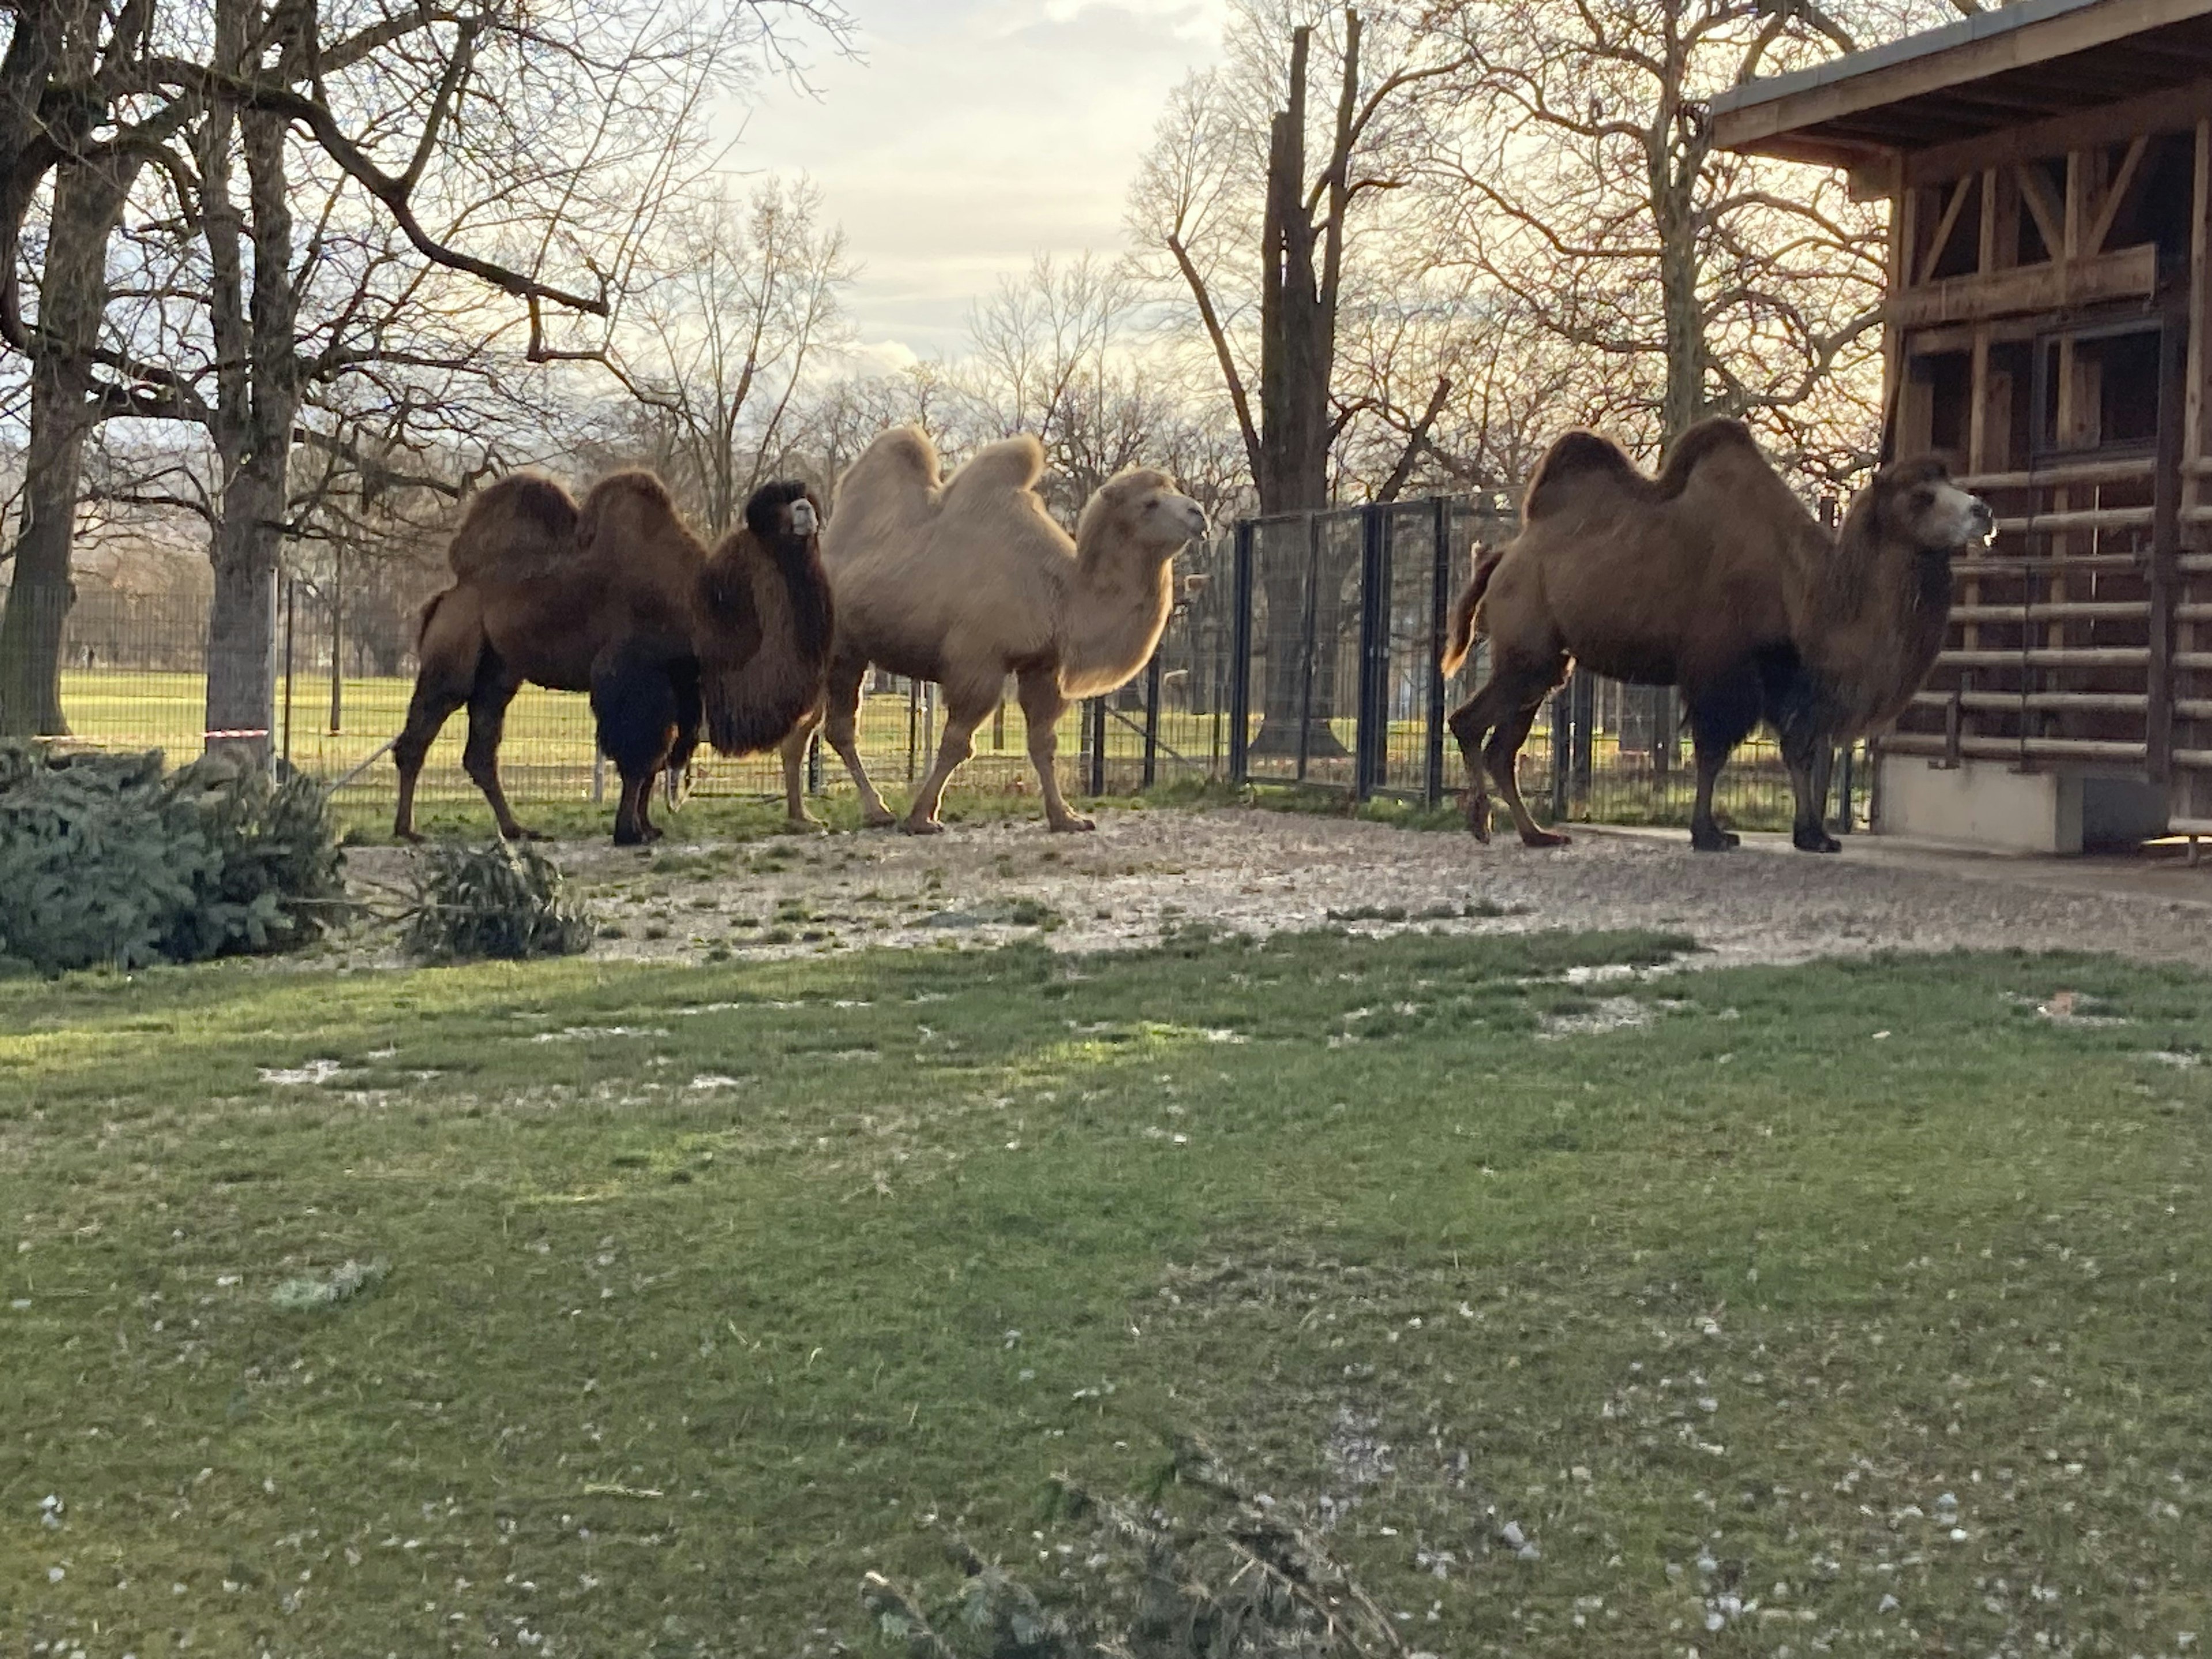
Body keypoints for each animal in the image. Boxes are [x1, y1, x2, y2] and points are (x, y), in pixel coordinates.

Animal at [393, 478, 831, 844]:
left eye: (804, 499)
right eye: (778, 509)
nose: (807, 511)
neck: (701, 607)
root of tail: (448, 593)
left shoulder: (679, 682)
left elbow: (658, 758)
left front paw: (649, 827)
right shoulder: (635, 675)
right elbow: (640, 757)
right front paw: (629, 832)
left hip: (500, 671)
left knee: (481, 751)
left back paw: (516, 829)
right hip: (454, 648)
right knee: (422, 731)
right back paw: (408, 830)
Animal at [783, 429, 1212, 836]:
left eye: (1175, 489)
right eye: (1149, 503)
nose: (1199, 514)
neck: (1062, 590)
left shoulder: (1042, 666)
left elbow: (1043, 743)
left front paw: (1067, 818)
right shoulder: (978, 662)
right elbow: (957, 743)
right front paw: (922, 818)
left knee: (807, 725)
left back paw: (803, 818)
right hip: (843, 652)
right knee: (837, 728)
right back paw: (875, 811)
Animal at [1442, 415, 1999, 858]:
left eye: (1953, 482)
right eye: (1922, 497)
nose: (1983, 511)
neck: (1809, 589)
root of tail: (1502, 557)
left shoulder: (1783, 671)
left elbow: (1797, 748)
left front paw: (1815, 836)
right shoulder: (1723, 665)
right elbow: (1713, 750)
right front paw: (1710, 834)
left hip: (1548, 662)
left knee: (1501, 745)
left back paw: (1536, 834)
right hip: (1527, 647)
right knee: (1468, 722)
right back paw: (1483, 823)